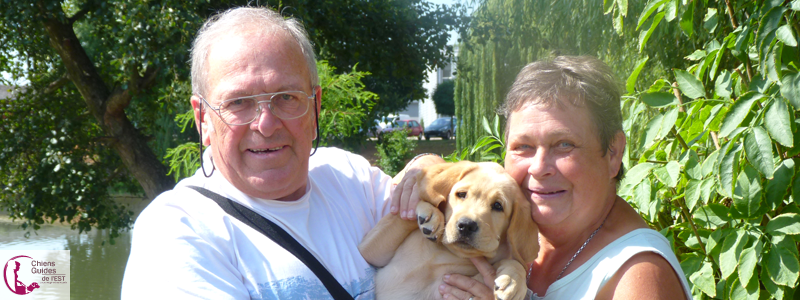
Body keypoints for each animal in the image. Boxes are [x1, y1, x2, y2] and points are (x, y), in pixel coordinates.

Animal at [360, 162, 536, 300]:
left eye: (498, 206)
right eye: (461, 194)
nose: (466, 225)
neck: (450, 253)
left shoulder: (449, 286)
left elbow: (512, 263)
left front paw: (513, 280)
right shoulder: (371, 252)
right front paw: (431, 213)